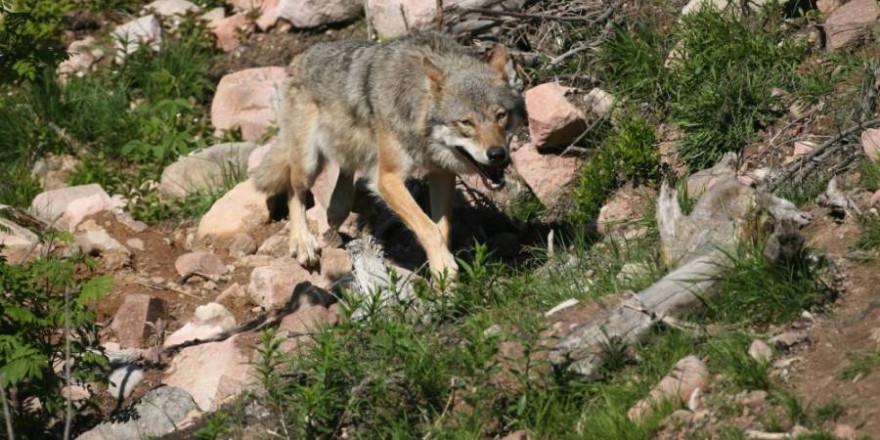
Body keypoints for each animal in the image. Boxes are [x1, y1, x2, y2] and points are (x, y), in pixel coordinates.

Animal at [254, 31, 528, 278]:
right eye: (466, 123)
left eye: (500, 115)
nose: (497, 154)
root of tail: (298, 59)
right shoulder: (388, 179)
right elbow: (429, 229)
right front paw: (444, 270)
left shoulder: (440, 172)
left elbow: (442, 228)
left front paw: (442, 271)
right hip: (308, 164)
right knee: (294, 190)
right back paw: (303, 242)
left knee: (344, 175)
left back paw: (336, 208)